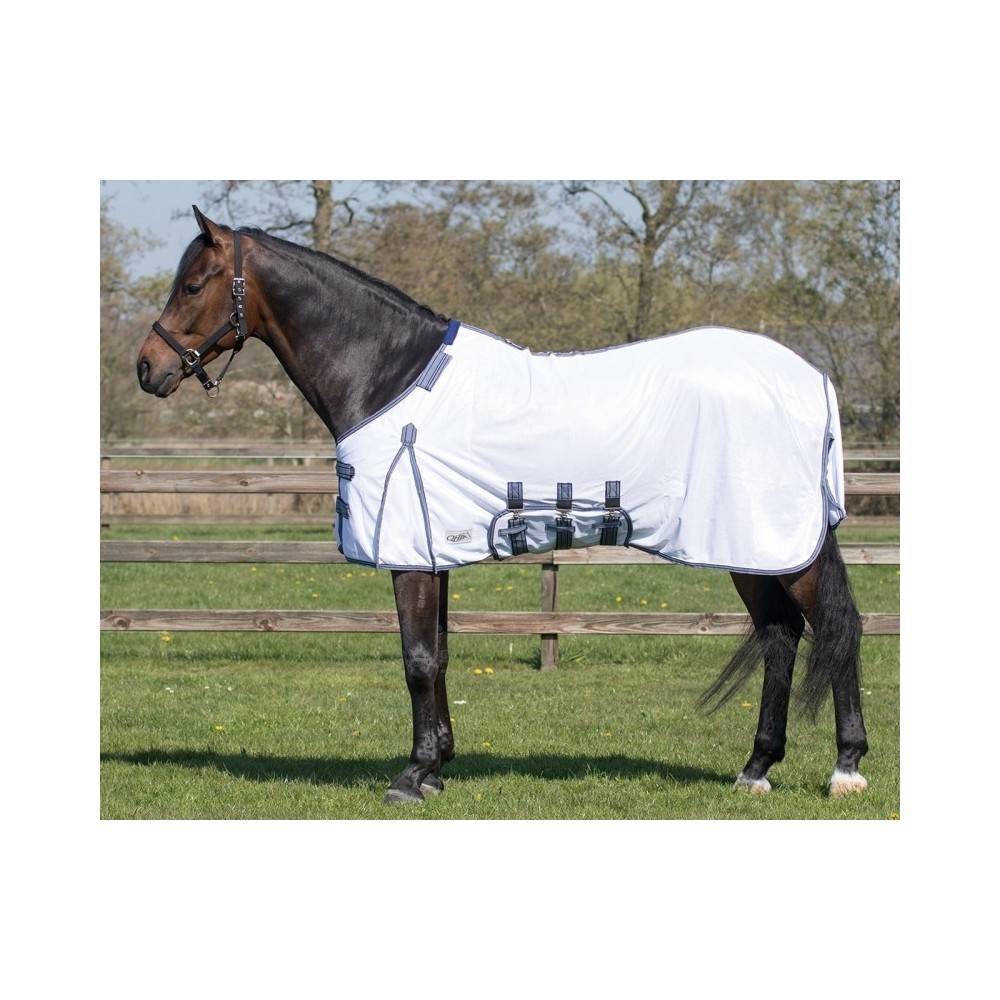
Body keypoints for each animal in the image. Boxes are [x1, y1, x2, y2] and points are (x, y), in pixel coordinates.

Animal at [135, 206, 869, 804]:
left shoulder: (411, 555)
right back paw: (756, 769)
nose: (146, 368)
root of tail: (813, 379)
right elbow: (439, 656)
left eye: (192, 285)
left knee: (837, 626)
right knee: (780, 635)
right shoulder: (435, 553)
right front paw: (438, 765)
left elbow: (416, 660)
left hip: (778, 543)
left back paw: (846, 769)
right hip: (753, 548)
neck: (389, 374)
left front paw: (411, 776)